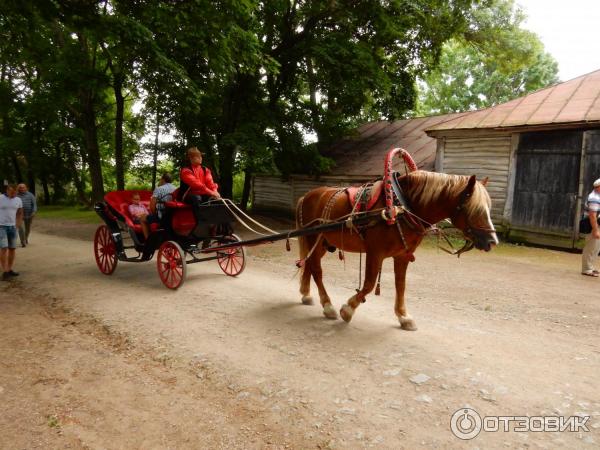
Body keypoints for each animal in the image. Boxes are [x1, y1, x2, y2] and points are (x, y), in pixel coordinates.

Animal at [294, 171, 496, 328]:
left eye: (488, 207)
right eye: (476, 209)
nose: (493, 241)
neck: (401, 208)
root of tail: (307, 196)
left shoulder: (402, 256)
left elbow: (401, 285)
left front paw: (403, 316)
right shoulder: (375, 253)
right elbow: (369, 284)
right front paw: (348, 309)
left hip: (321, 243)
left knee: (309, 264)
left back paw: (306, 294)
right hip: (313, 238)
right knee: (317, 270)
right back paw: (327, 306)